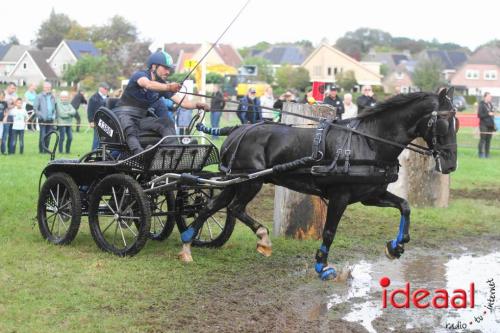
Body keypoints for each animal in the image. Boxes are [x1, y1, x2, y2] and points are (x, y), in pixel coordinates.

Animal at [179, 89, 458, 280]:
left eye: (456, 123)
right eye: (444, 123)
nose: (451, 164)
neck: (368, 142)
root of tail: (237, 129)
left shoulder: (372, 194)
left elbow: (405, 206)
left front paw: (396, 246)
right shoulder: (340, 196)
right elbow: (329, 231)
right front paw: (322, 267)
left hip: (236, 181)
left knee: (214, 206)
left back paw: (189, 243)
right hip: (249, 181)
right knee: (233, 208)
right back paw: (259, 237)